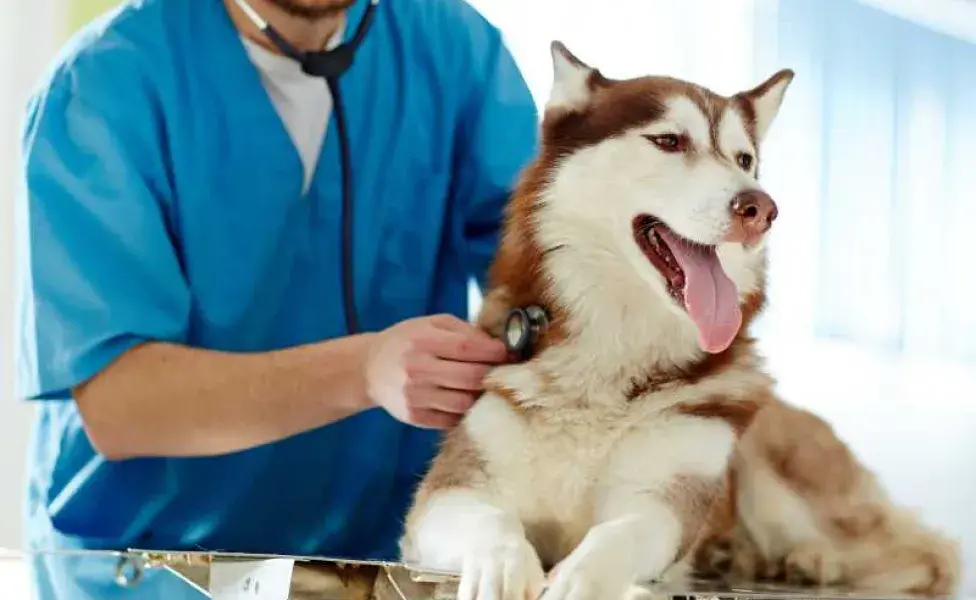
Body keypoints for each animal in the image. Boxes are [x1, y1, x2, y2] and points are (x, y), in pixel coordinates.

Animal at [398, 42, 960, 600]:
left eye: (744, 160)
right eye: (668, 141)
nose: (760, 208)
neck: (615, 348)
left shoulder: (662, 502)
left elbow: (617, 537)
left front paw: (582, 579)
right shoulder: (451, 492)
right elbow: (489, 523)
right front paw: (500, 568)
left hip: (780, 484)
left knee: (928, 553)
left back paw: (813, 559)